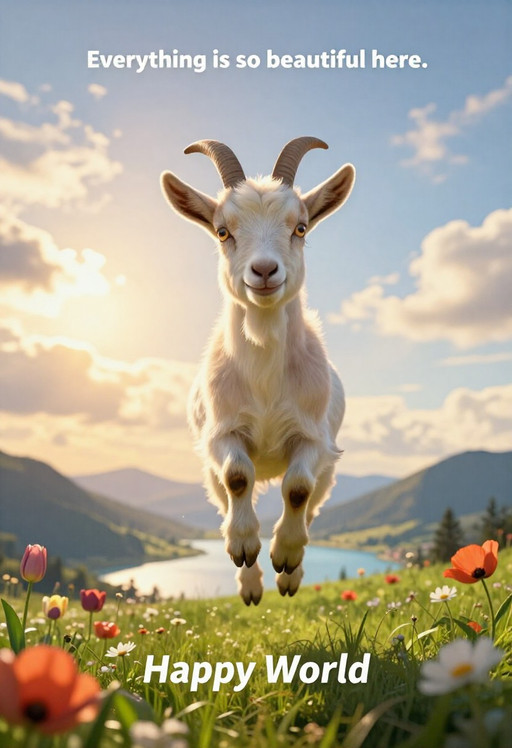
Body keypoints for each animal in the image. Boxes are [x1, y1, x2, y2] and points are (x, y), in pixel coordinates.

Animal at [161, 137, 355, 604]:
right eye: (222, 231)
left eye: (300, 228)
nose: (264, 271)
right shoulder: (222, 433)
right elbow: (237, 477)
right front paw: (246, 549)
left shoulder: (313, 439)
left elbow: (297, 488)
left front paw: (285, 557)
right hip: (209, 475)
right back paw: (249, 583)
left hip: (329, 471)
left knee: (311, 506)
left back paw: (289, 578)